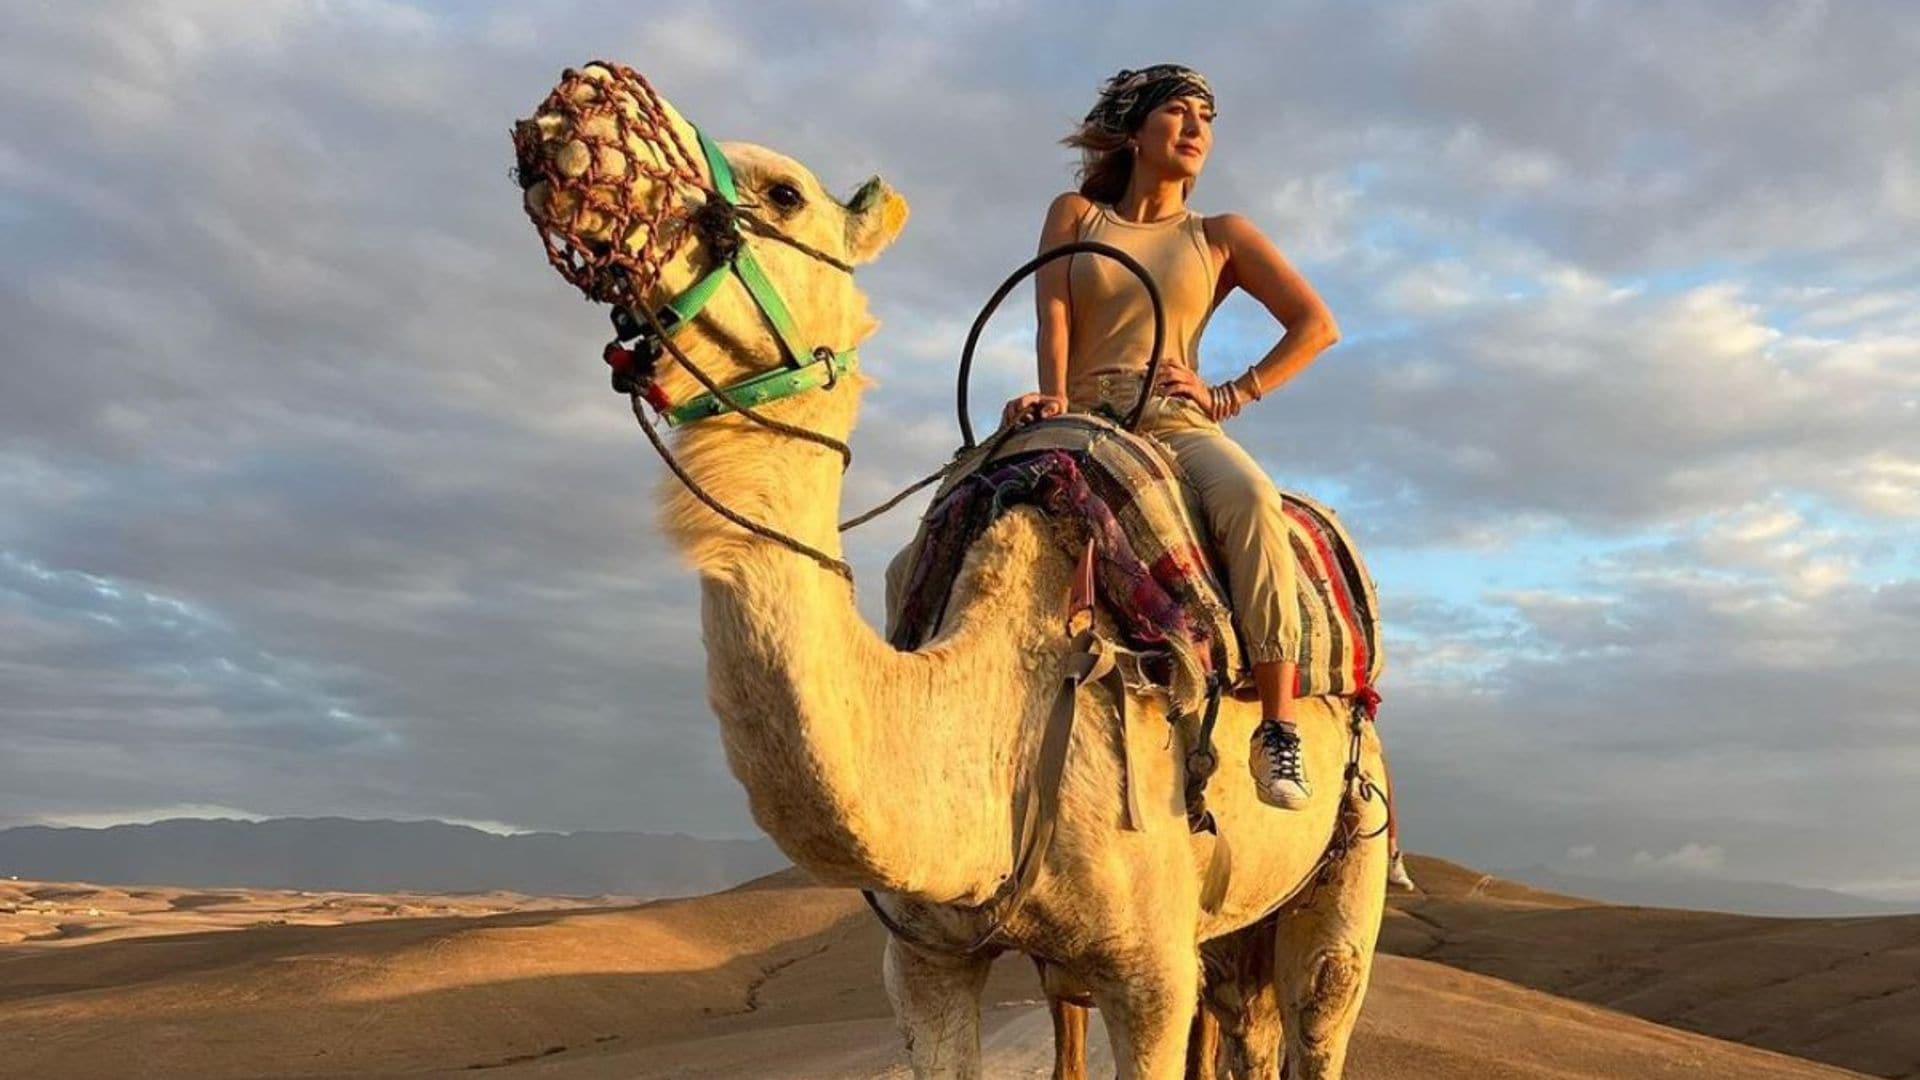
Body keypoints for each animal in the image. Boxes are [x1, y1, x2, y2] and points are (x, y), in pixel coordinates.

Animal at [510, 62, 1382, 1068]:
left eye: (784, 192)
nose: (573, 108)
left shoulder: (1152, 971)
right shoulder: (926, 958)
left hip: (1348, 856)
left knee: (1317, 1009)